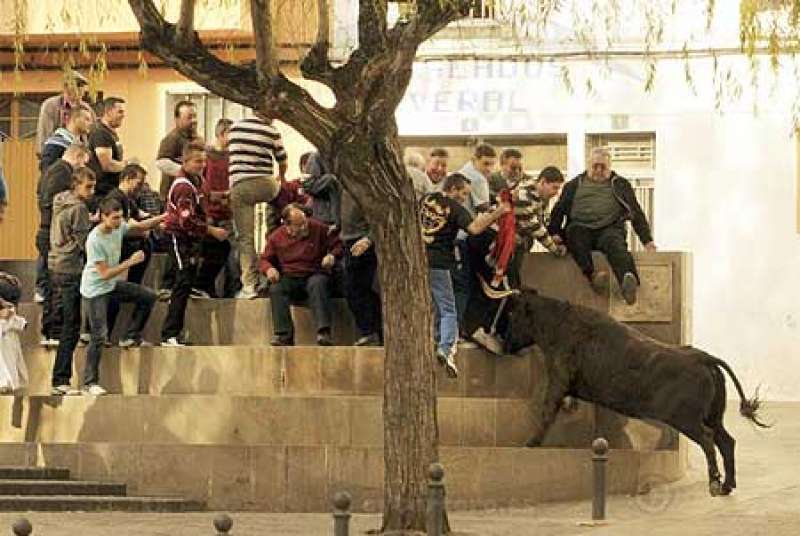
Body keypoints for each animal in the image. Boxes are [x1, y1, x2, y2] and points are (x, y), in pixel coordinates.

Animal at [462, 286, 768, 496]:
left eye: (513, 314)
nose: (504, 343)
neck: (560, 326)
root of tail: (703, 357)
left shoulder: (558, 380)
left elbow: (547, 410)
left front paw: (531, 443)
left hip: (688, 420)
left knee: (707, 440)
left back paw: (715, 484)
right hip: (713, 416)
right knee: (726, 441)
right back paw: (728, 485)